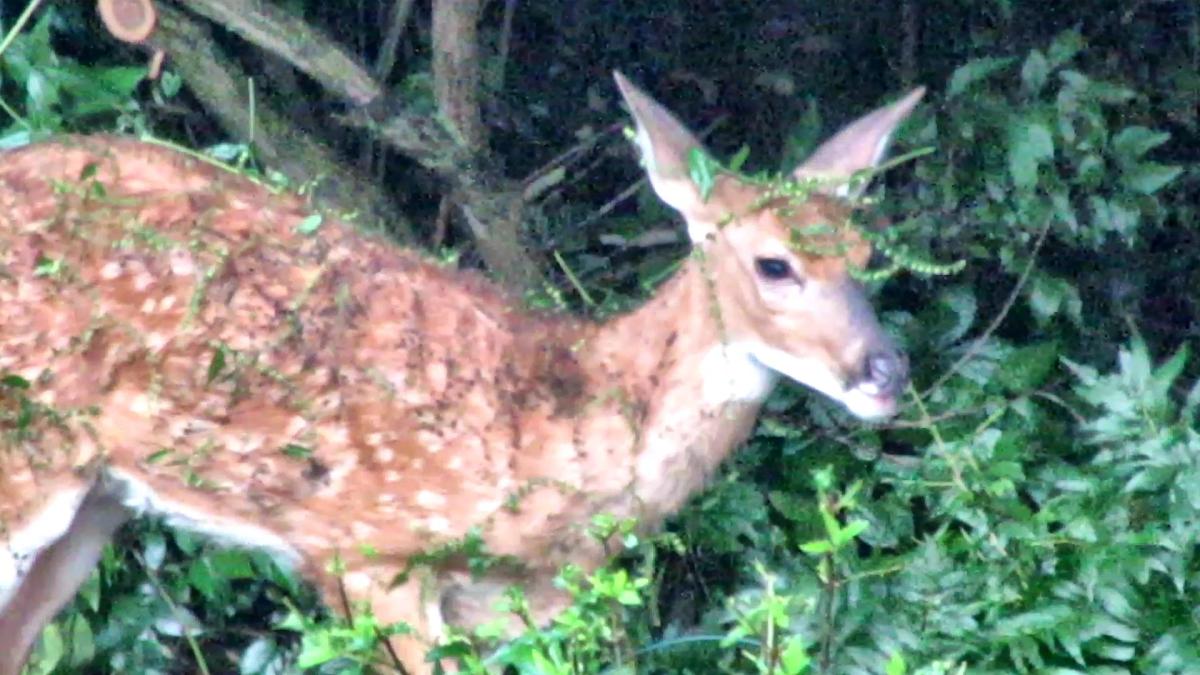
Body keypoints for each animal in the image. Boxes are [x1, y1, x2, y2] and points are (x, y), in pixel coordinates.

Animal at [0, 72, 923, 674]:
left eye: (870, 255)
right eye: (774, 264)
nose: (886, 370)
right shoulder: (366, 551)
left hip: (94, 502)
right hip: (25, 463)